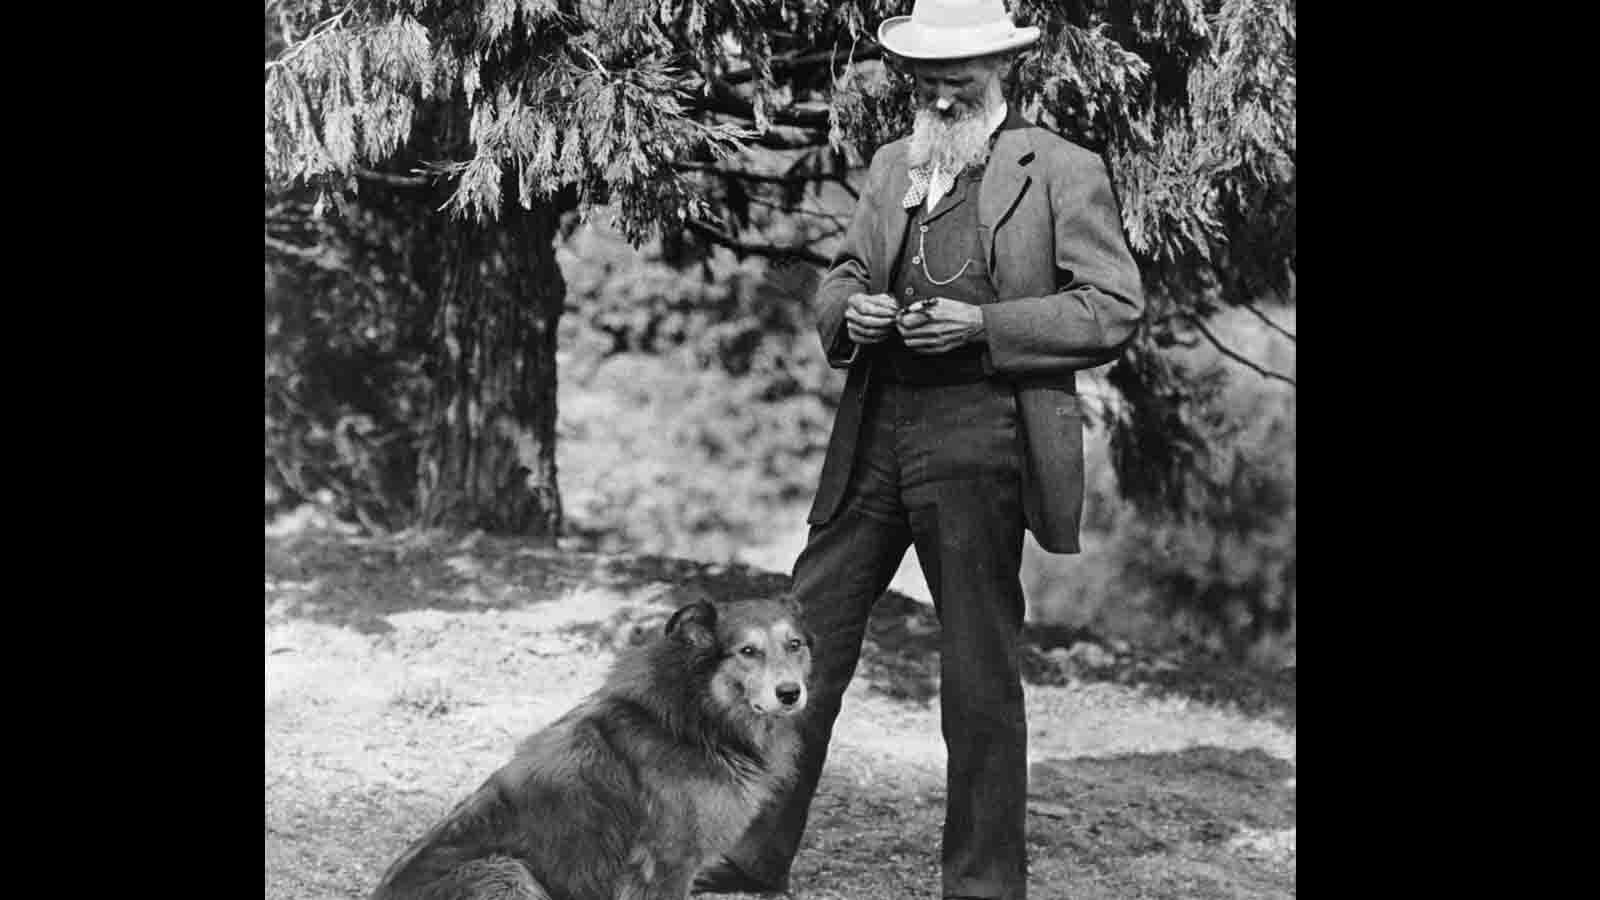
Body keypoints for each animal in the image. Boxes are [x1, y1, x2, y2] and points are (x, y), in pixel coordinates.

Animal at [371, 595, 812, 896]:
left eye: (795, 645)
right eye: (748, 651)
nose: (791, 693)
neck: (696, 715)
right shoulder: (666, 864)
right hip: (507, 872)